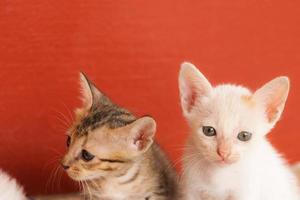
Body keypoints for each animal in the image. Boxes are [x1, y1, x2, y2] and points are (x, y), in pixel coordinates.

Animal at [179, 62, 298, 200]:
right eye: (209, 130)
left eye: (244, 136)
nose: (224, 152)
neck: (219, 174)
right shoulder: (191, 190)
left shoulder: (246, 191)